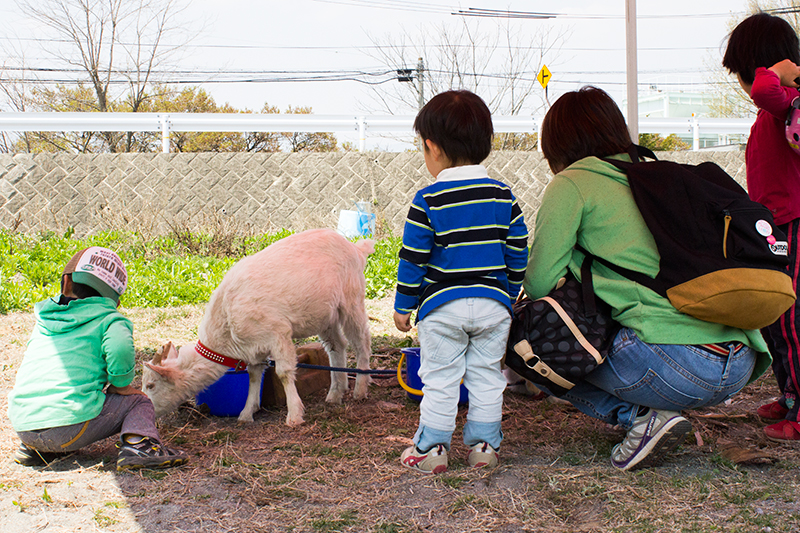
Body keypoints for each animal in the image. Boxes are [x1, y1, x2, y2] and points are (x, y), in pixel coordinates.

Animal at [142, 228, 375, 426]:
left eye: (151, 385)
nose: (146, 410)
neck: (226, 328)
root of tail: (356, 248)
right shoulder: (253, 347)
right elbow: (254, 376)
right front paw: (247, 413)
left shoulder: (278, 333)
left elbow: (283, 372)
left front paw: (294, 415)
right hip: (325, 315)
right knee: (337, 346)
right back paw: (336, 393)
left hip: (352, 299)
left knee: (361, 342)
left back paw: (360, 389)